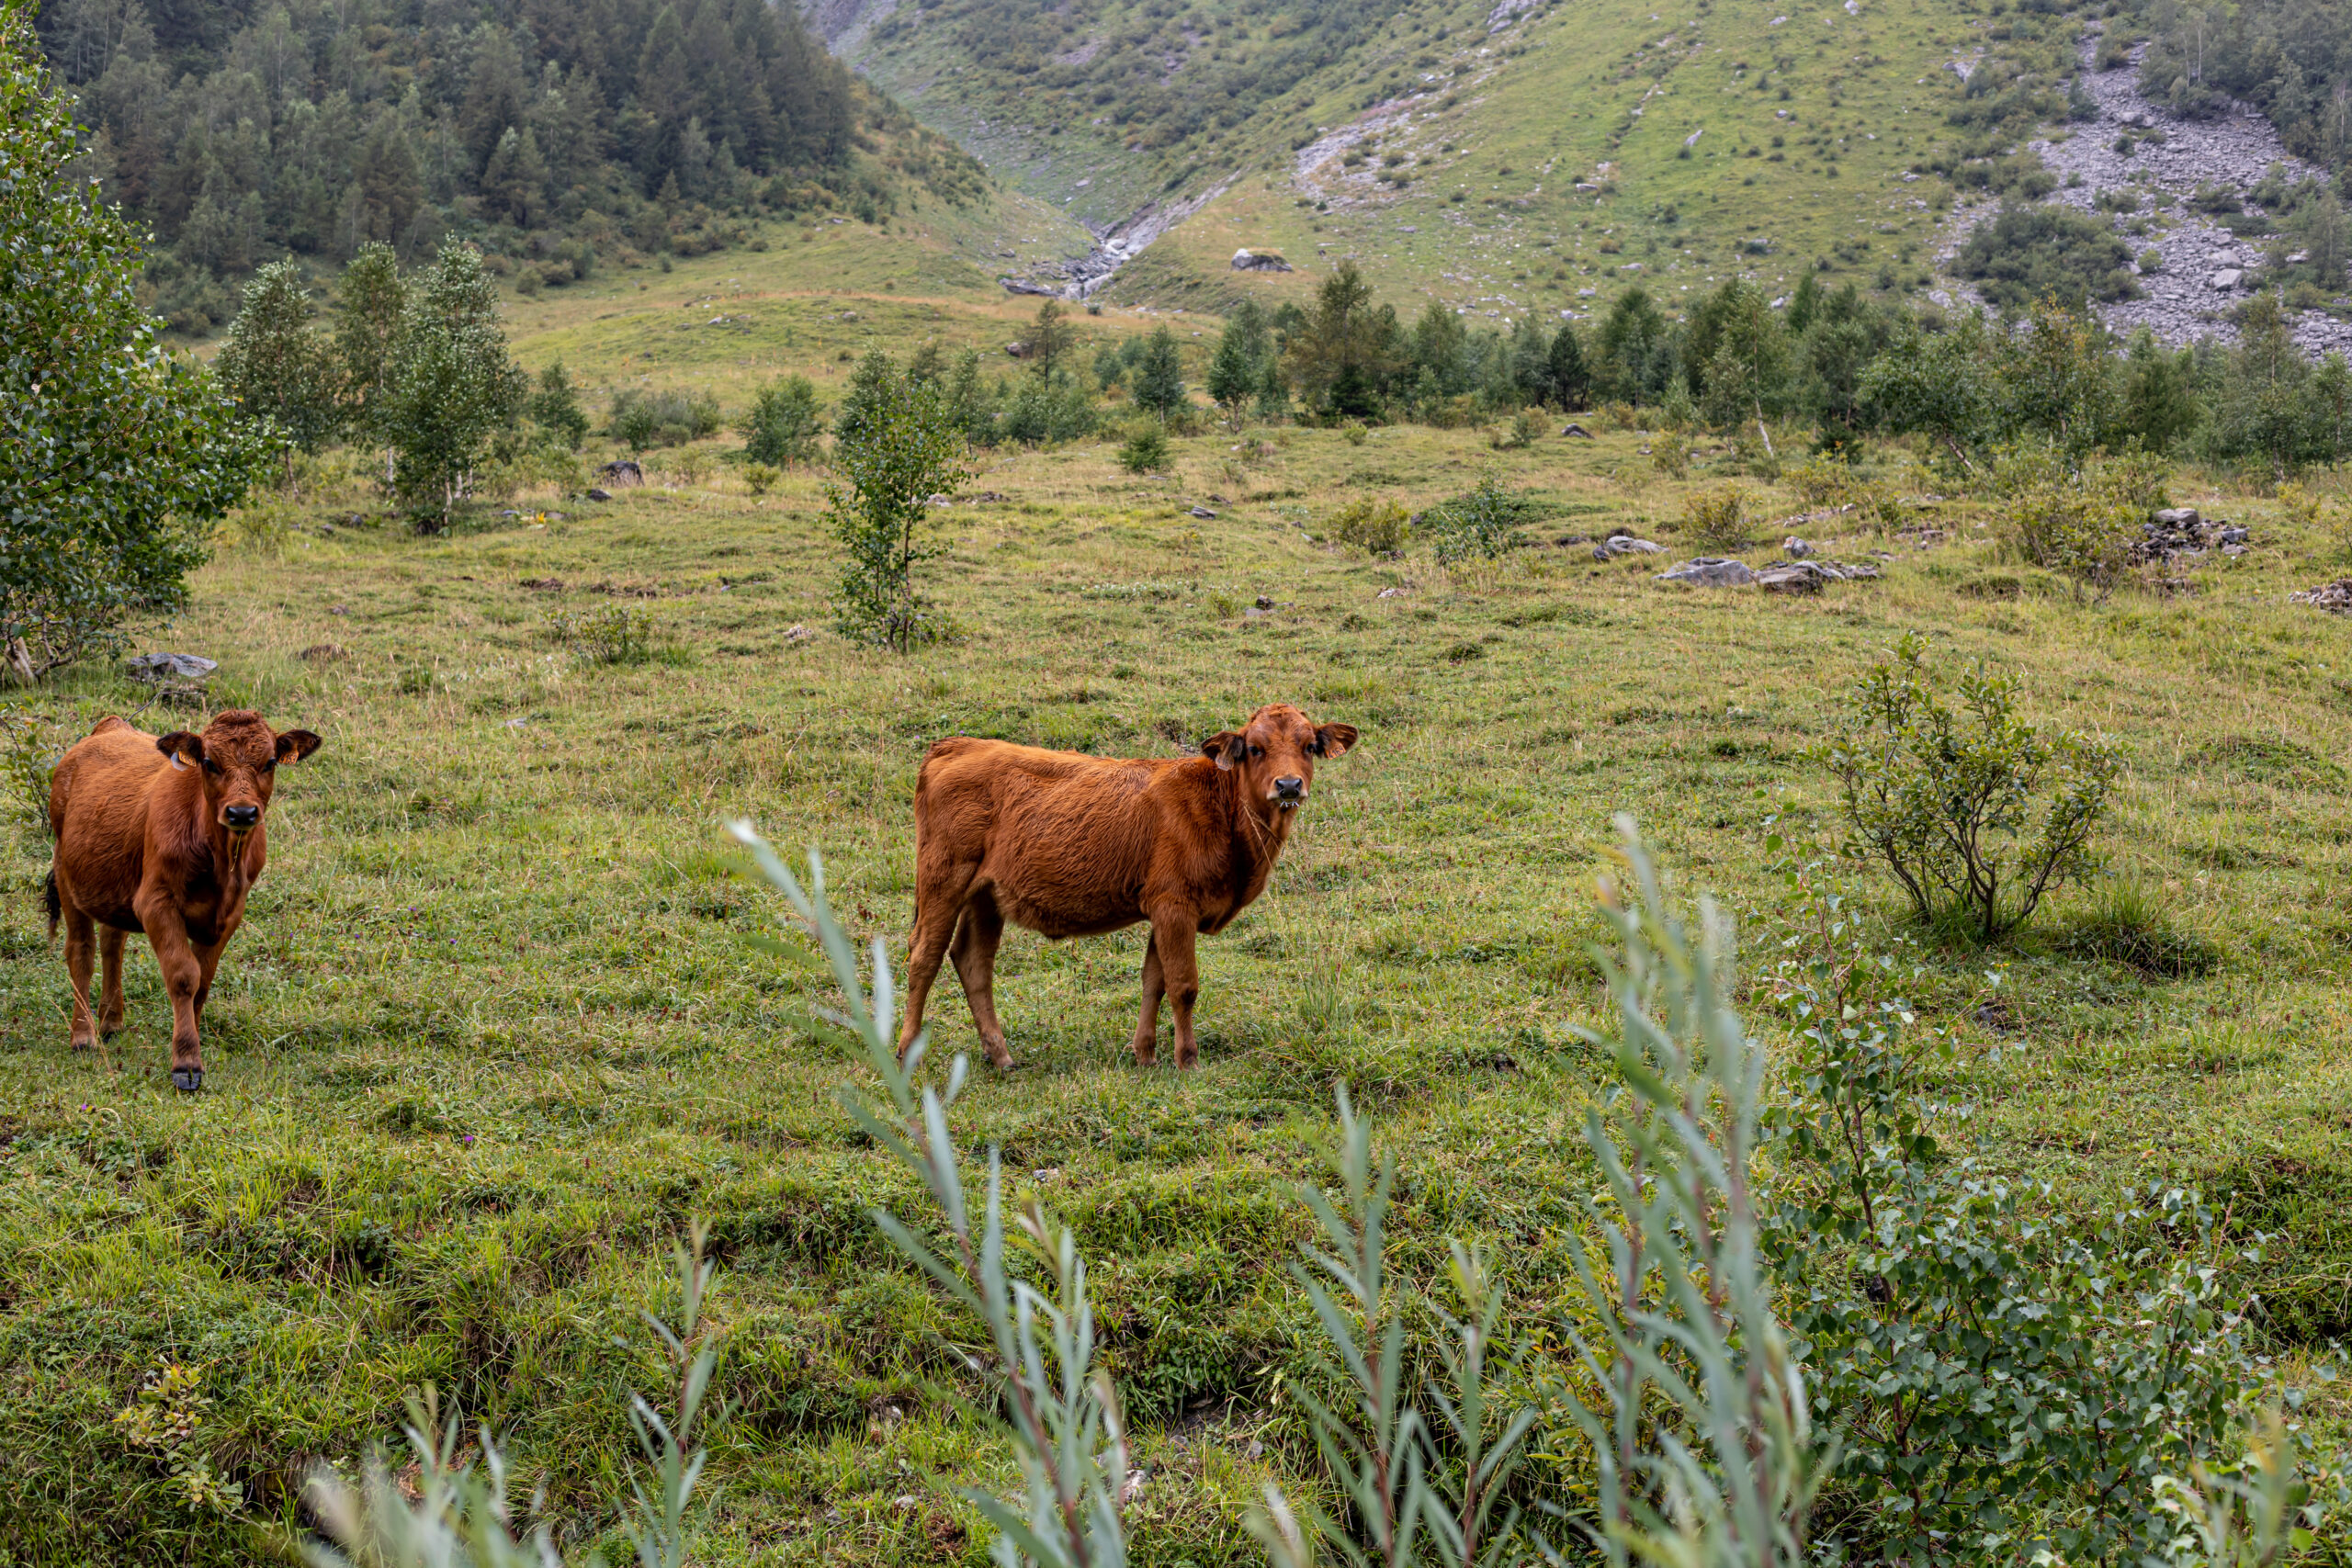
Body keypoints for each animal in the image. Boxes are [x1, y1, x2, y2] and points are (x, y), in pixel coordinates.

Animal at [47, 709, 324, 1090]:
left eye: (269, 762)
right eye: (209, 762)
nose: (241, 813)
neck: (220, 860)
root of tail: (111, 725)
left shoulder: (231, 911)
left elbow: (203, 981)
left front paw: (187, 1040)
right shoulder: (155, 902)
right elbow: (183, 976)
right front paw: (187, 1062)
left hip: (112, 882)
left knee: (112, 944)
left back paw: (111, 1021)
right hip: (66, 873)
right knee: (80, 952)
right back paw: (83, 1035)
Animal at [893, 705, 1363, 1072]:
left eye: (1309, 746)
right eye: (1254, 748)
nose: (1288, 785)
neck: (1225, 812)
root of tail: (957, 745)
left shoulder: (1161, 909)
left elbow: (1154, 982)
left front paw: (1146, 1054)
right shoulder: (1175, 906)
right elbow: (1183, 985)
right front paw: (1188, 1060)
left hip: (986, 896)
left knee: (974, 963)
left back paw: (1001, 1055)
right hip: (943, 879)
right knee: (925, 957)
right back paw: (906, 1050)